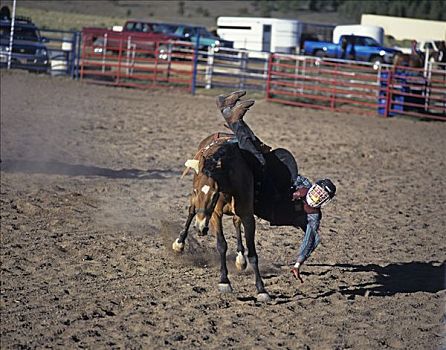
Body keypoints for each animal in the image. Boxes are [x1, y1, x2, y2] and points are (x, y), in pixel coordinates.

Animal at [171, 133, 268, 302]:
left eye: (214, 194)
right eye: (195, 190)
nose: (201, 228)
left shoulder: (248, 216)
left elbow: (253, 253)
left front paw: (261, 289)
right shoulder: (215, 214)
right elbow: (221, 245)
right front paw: (224, 281)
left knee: (236, 223)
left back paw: (240, 259)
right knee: (191, 211)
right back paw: (179, 243)